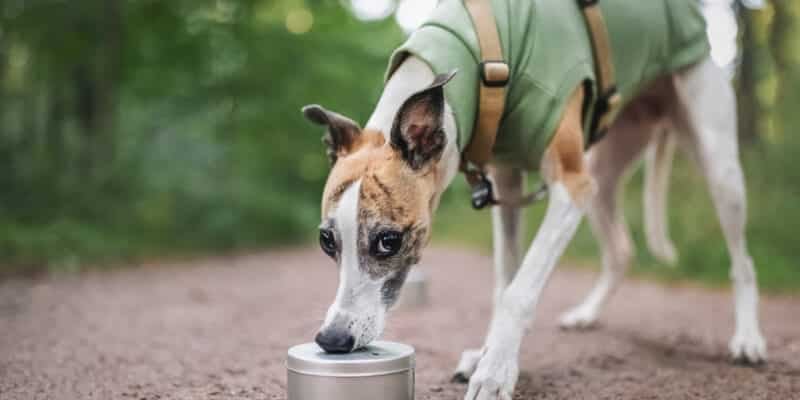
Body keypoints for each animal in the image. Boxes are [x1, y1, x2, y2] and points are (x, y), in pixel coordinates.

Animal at [304, 1, 764, 398]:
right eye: (327, 241)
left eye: (389, 241)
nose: (332, 339)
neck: (486, 53)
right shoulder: (507, 185)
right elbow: (503, 283)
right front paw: (488, 355)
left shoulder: (570, 187)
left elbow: (518, 292)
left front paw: (495, 371)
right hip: (601, 178)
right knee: (620, 250)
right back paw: (587, 313)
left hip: (715, 163)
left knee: (743, 260)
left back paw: (748, 338)